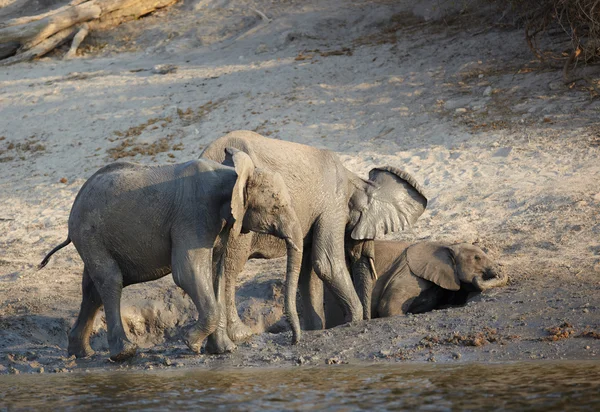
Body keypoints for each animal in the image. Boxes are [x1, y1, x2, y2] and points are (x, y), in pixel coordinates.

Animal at [36, 150, 304, 360]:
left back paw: (82, 353)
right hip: (89, 233)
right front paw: (191, 343)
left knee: (92, 290)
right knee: (111, 281)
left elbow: (215, 274)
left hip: (92, 237)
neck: (234, 174)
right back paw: (124, 354)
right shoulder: (193, 214)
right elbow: (188, 273)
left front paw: (224, 350)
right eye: (277, 206)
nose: (293, 342)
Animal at [202, 130, 426, 346]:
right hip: (236, 212)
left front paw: (315, 330)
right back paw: (240, 335)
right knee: (230, 268)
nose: (294, 341)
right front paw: (353, 320)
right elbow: (327, 264)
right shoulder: (332, 206)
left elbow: (309, 275)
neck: (356, 180)